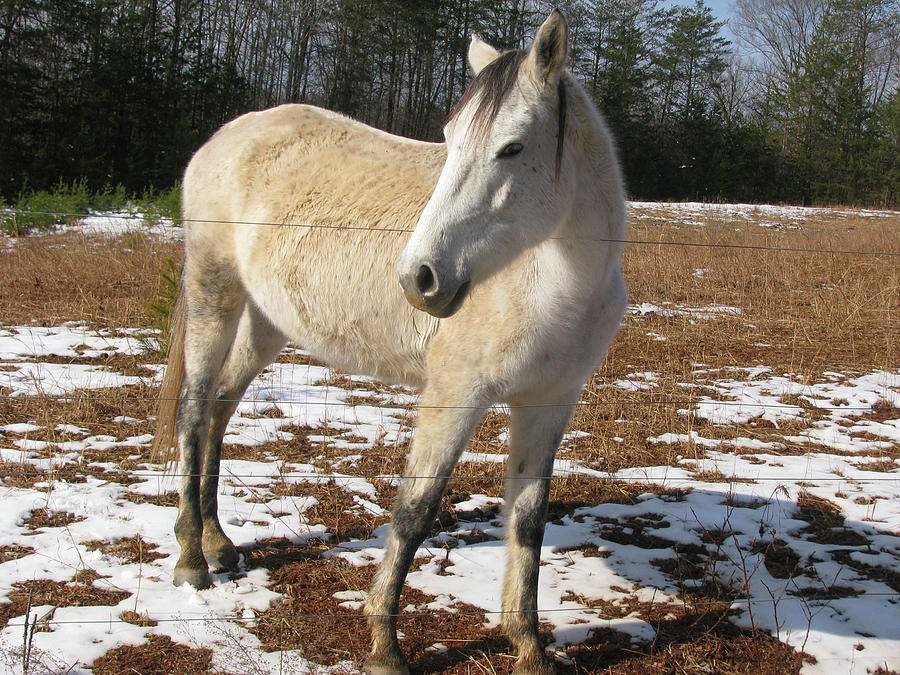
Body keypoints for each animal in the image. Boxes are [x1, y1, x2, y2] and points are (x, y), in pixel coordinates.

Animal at [153, 11, 624, 675]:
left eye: (513, 147)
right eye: (449, 140)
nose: (420, 278)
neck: (551, 281)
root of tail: (228, 135)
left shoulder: (549, 403)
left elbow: (528, 522)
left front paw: (528, 646)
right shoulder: (454, 396)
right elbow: (415, 511)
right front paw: (383, 645)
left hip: (266, 322)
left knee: (219, 408)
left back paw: (219, 544)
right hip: (212, 295)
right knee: (195, 413)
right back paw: (192, 560)